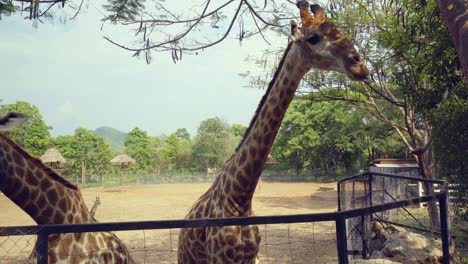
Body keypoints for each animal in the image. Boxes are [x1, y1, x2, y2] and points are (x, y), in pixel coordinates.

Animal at [177, 1, 372, 262]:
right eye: (313, 37)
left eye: (339, 30)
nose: (359, 65)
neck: (239, 198)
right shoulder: (220, 258)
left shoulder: (253, 256)